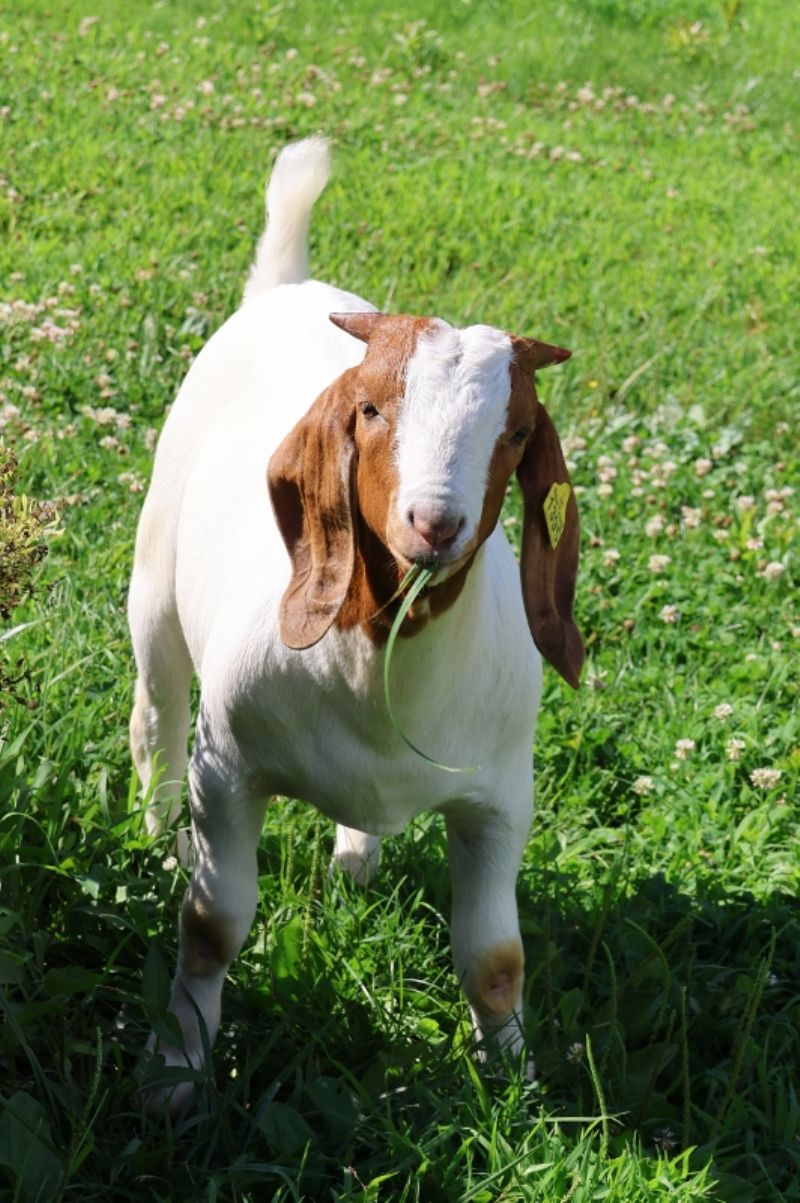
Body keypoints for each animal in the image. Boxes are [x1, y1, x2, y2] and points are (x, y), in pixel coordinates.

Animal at [129, 135, 584, 1108]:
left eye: (516, 433)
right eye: (371, 407)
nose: (434, 523)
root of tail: (286, 285)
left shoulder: (500, 798)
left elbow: (497, 958)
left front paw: (516, 1084)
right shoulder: (226, 770)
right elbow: (211, 921)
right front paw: (179, 1070)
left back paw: (353, 862)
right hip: (152, 587)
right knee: (155, 713)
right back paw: (154, 835)